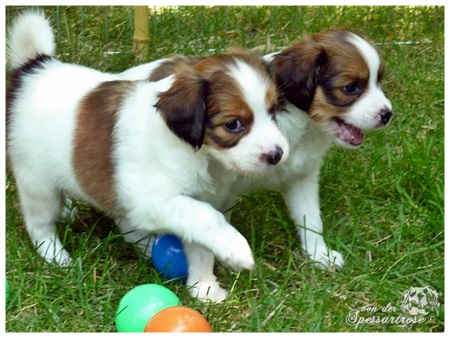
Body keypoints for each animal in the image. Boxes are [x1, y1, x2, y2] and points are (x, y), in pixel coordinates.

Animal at [6, 11, 288, 302]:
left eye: (273, 111)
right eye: (233, 125)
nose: (277, 154)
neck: (202, 155)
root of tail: (34, 68)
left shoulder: (195, 199)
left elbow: (200, 243)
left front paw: (203, 288)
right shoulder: (152, 200)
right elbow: (208, 218)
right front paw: (235, 249)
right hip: (37, 185)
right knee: (39, 224)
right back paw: (57, 257)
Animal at [118, 28, 392, 298]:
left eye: (379, 81)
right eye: (351, 88)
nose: (388, 114)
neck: (299, 127)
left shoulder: (301, 178)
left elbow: (311, 220)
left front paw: (319, 256)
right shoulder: (218, 188)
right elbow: (209, 219)